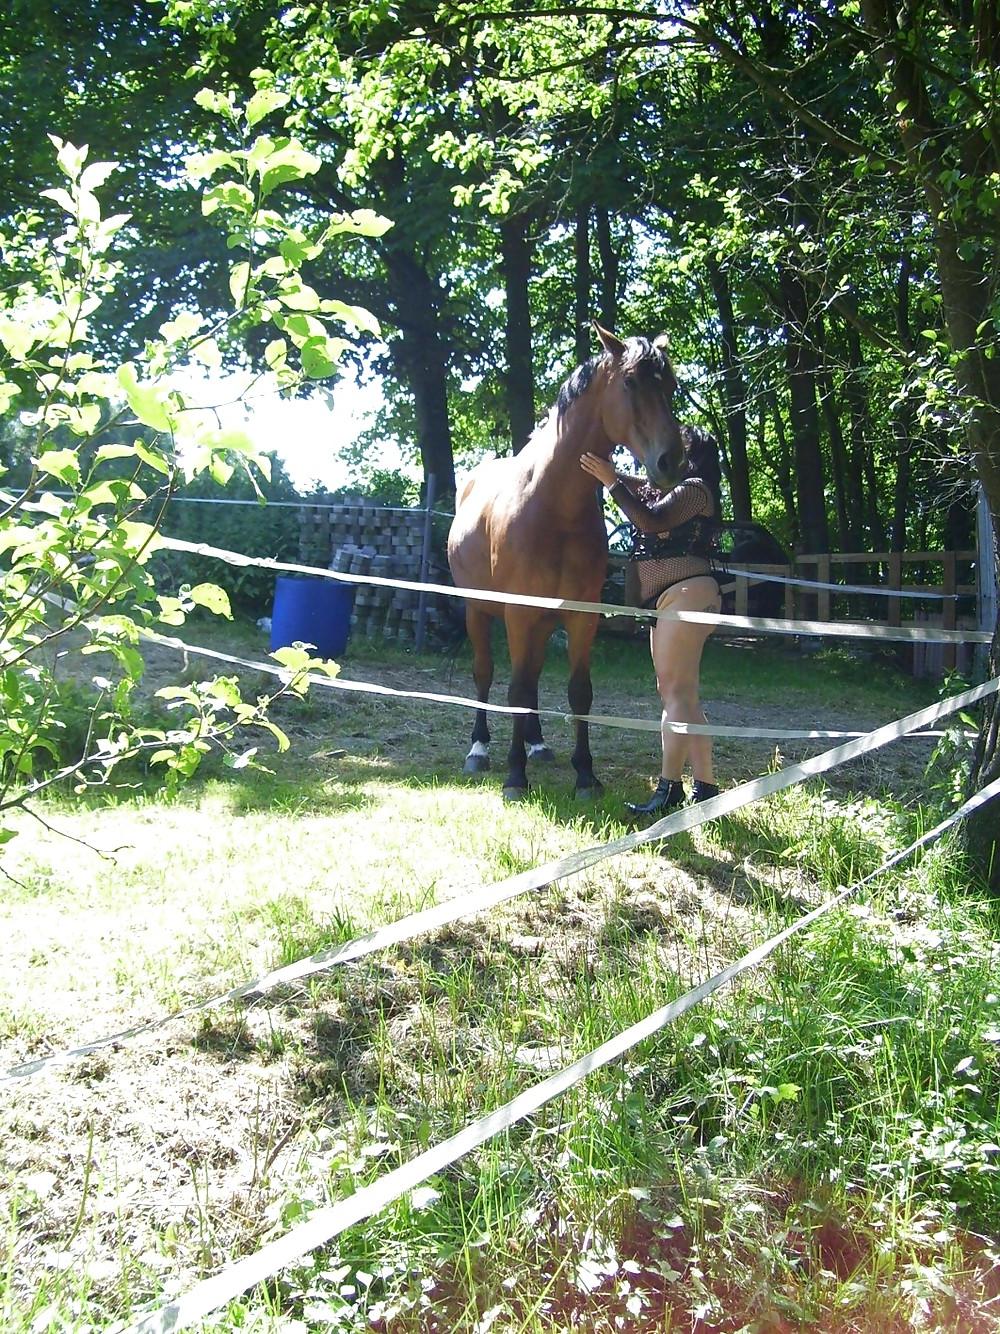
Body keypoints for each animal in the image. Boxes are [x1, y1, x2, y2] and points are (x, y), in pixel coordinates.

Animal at [447, 323, 686, 801]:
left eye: (669, 386)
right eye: (630, 382)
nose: (671, 462)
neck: (552, 505)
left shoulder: (581, 616)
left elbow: (579, 692)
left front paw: (585, 775)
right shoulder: (519, 614)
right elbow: (514, 688)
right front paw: (514, 776)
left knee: (533, 679)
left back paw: (537, 744)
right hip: (477, 611)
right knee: (486, 675)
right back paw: (479, 750)